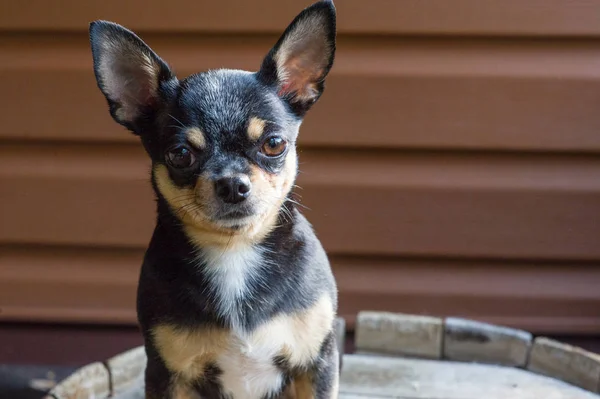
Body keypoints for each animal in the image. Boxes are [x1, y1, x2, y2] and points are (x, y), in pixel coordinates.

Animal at [91, 0, 340, 399]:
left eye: (274, 144)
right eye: (180, 155)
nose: (232, 184)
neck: (233, 250)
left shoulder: (316, 365)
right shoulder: (166, 374)